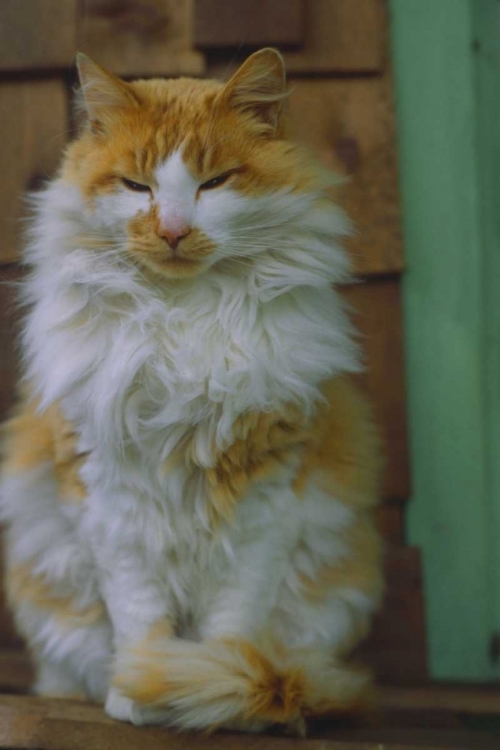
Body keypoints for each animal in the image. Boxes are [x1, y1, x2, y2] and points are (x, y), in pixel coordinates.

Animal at [0, 47, 382, 736]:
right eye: (136, 186)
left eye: (215, 183)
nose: (174, 230)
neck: (181, 320)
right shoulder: (109, 496)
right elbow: (139, 617)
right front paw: (140, 696)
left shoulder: (266, 496)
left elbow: (233, 621)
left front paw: (215, 691)